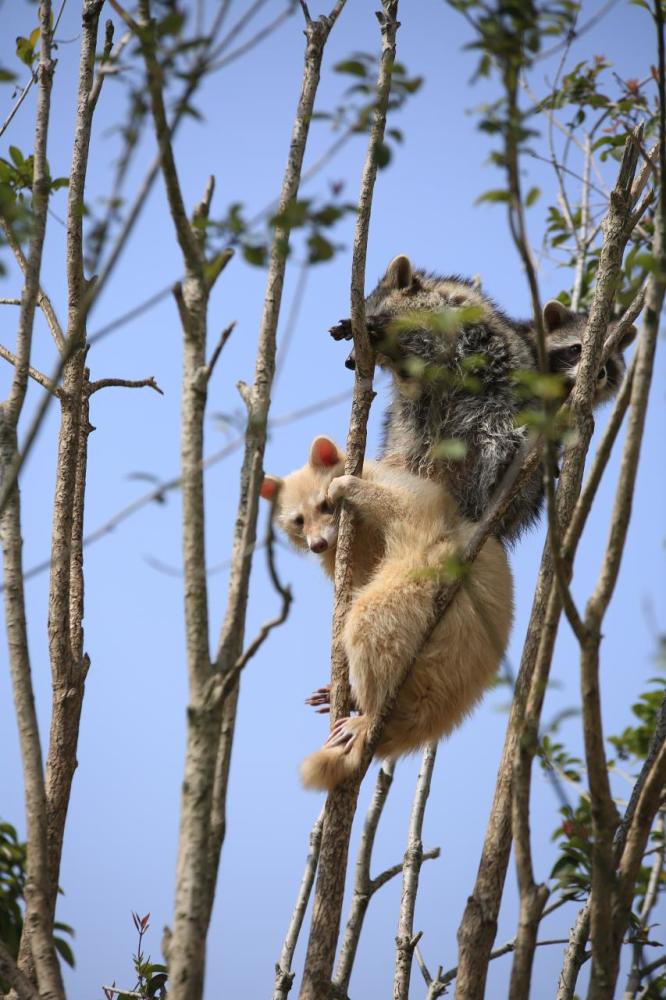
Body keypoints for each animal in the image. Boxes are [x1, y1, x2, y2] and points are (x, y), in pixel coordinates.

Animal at [260, 438, 512, 788]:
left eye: (325, 506)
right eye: (298, 521)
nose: (317, 545)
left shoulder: (403, 490)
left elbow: (409, 507)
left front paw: (349, 486)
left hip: (426, 591)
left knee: (369, 620)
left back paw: (370, 711)